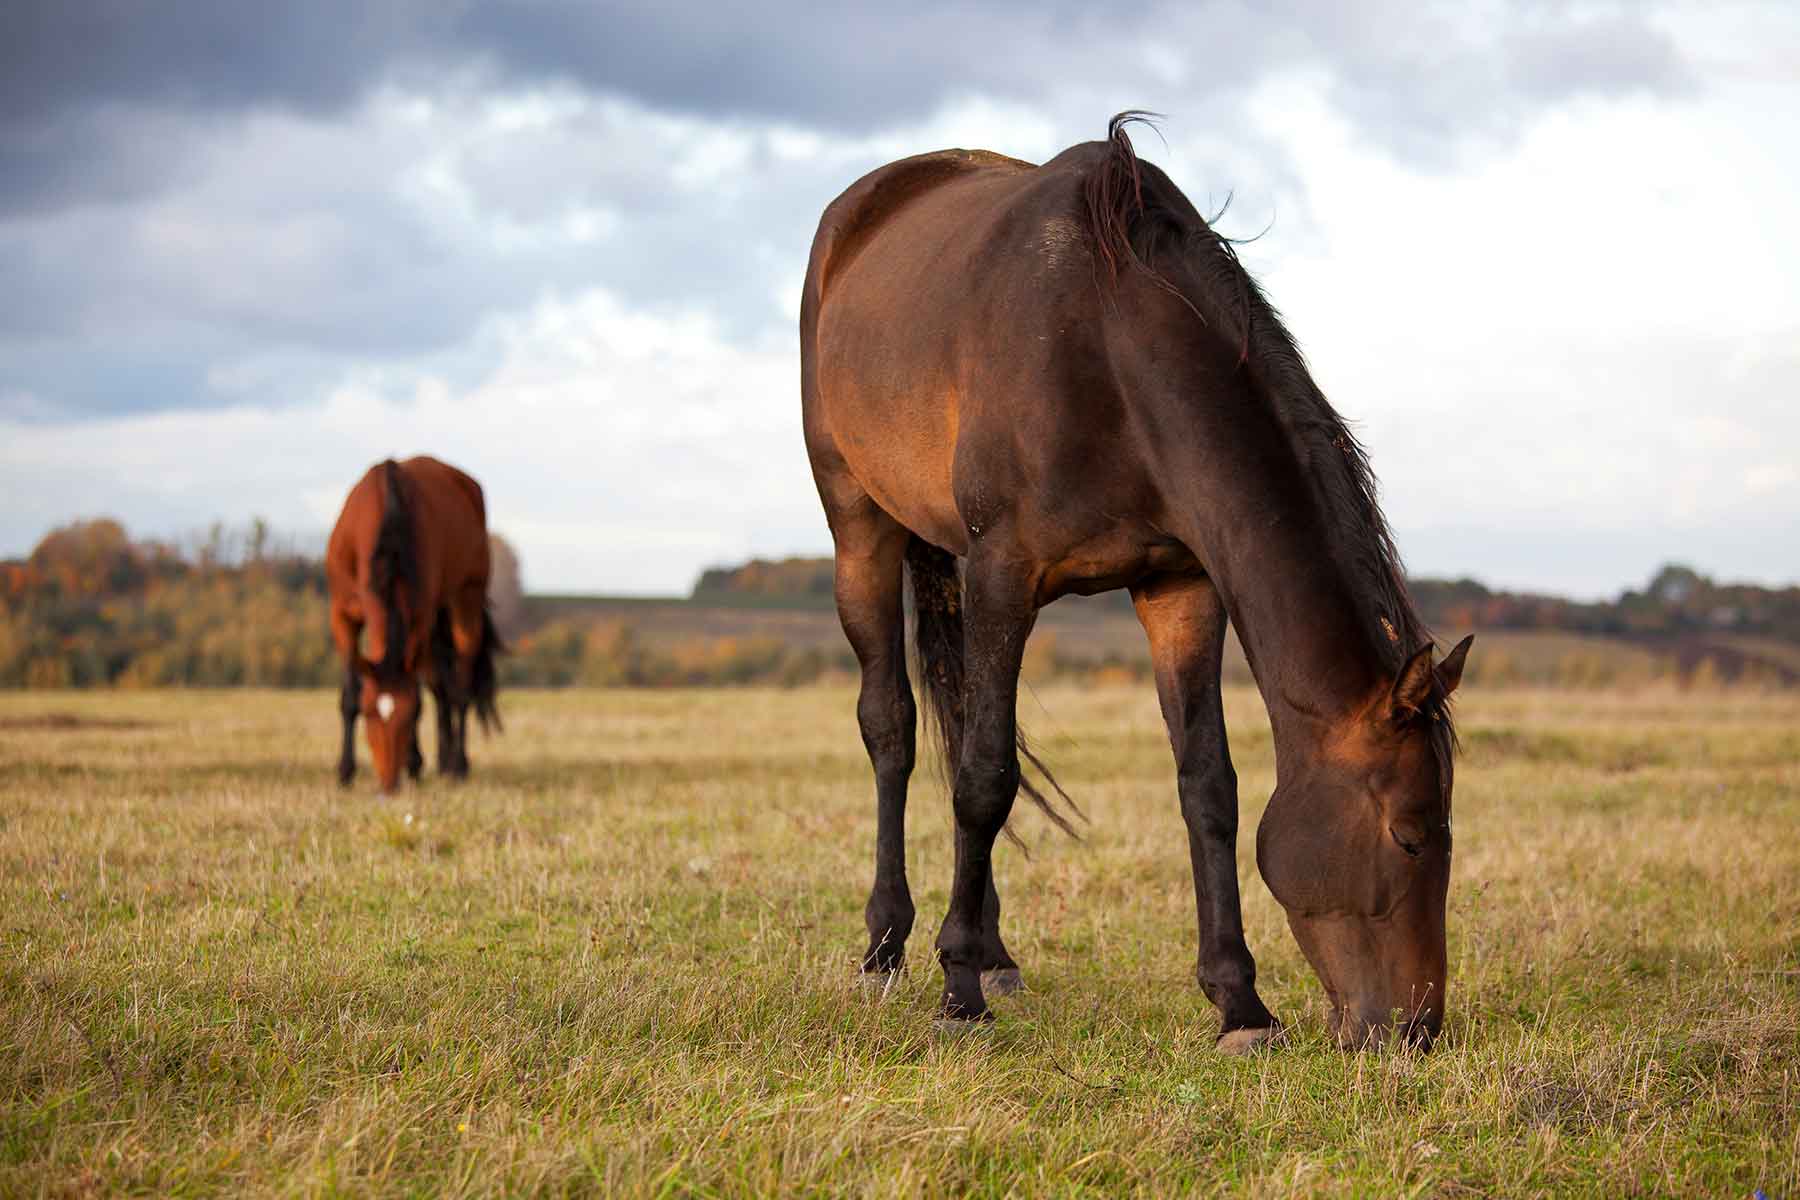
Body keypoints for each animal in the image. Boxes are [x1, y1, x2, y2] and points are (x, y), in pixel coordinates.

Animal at [326, 456, 502, 793]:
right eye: (369, 713)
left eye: (408, 718)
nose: (389, 786)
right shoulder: (342, 614)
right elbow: (349, 695)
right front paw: (344, 771)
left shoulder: (421, 615)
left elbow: (420, 691)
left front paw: (414, 763)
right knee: (441, 687)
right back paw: (443, 762)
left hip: (465, 598)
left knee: (458, 688)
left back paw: (457, 765)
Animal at [802, 114, 1473, 1052]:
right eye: (1410, 838)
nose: (1417, 1030)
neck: (1110, 355)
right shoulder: (1003, 574)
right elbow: (985, 780)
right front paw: (958, 994)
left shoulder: (1182, 590)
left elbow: (1208, 785)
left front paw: (1240, 1005)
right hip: (859, 522)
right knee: (892, 728)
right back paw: (888, 950)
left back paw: (995, 953)